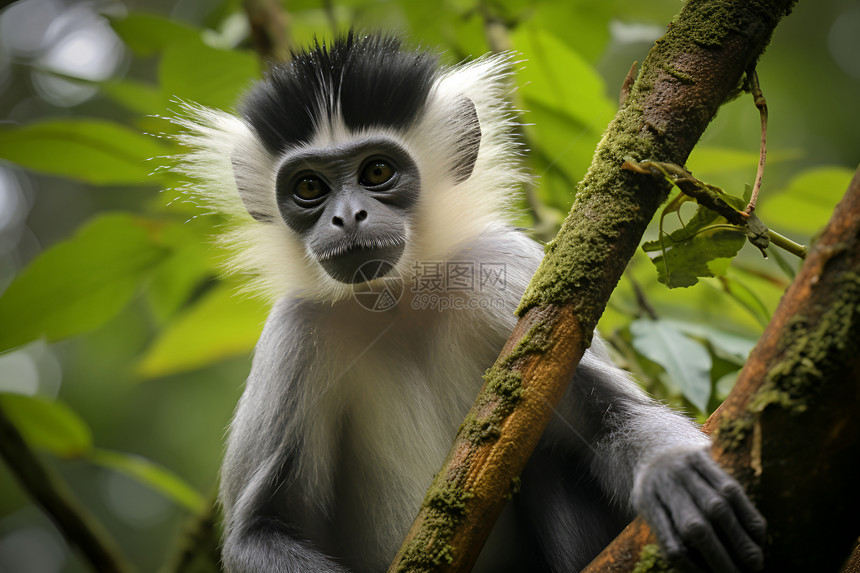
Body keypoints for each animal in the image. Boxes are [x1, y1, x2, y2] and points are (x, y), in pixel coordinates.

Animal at [175, 34, 764, 572]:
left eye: (377, 172)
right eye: (308, 187)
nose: (346, 218)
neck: (398, 303)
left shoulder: (503, 268)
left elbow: (609, 418)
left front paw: (673, 472)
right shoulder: (296, 332)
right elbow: (260, 530)